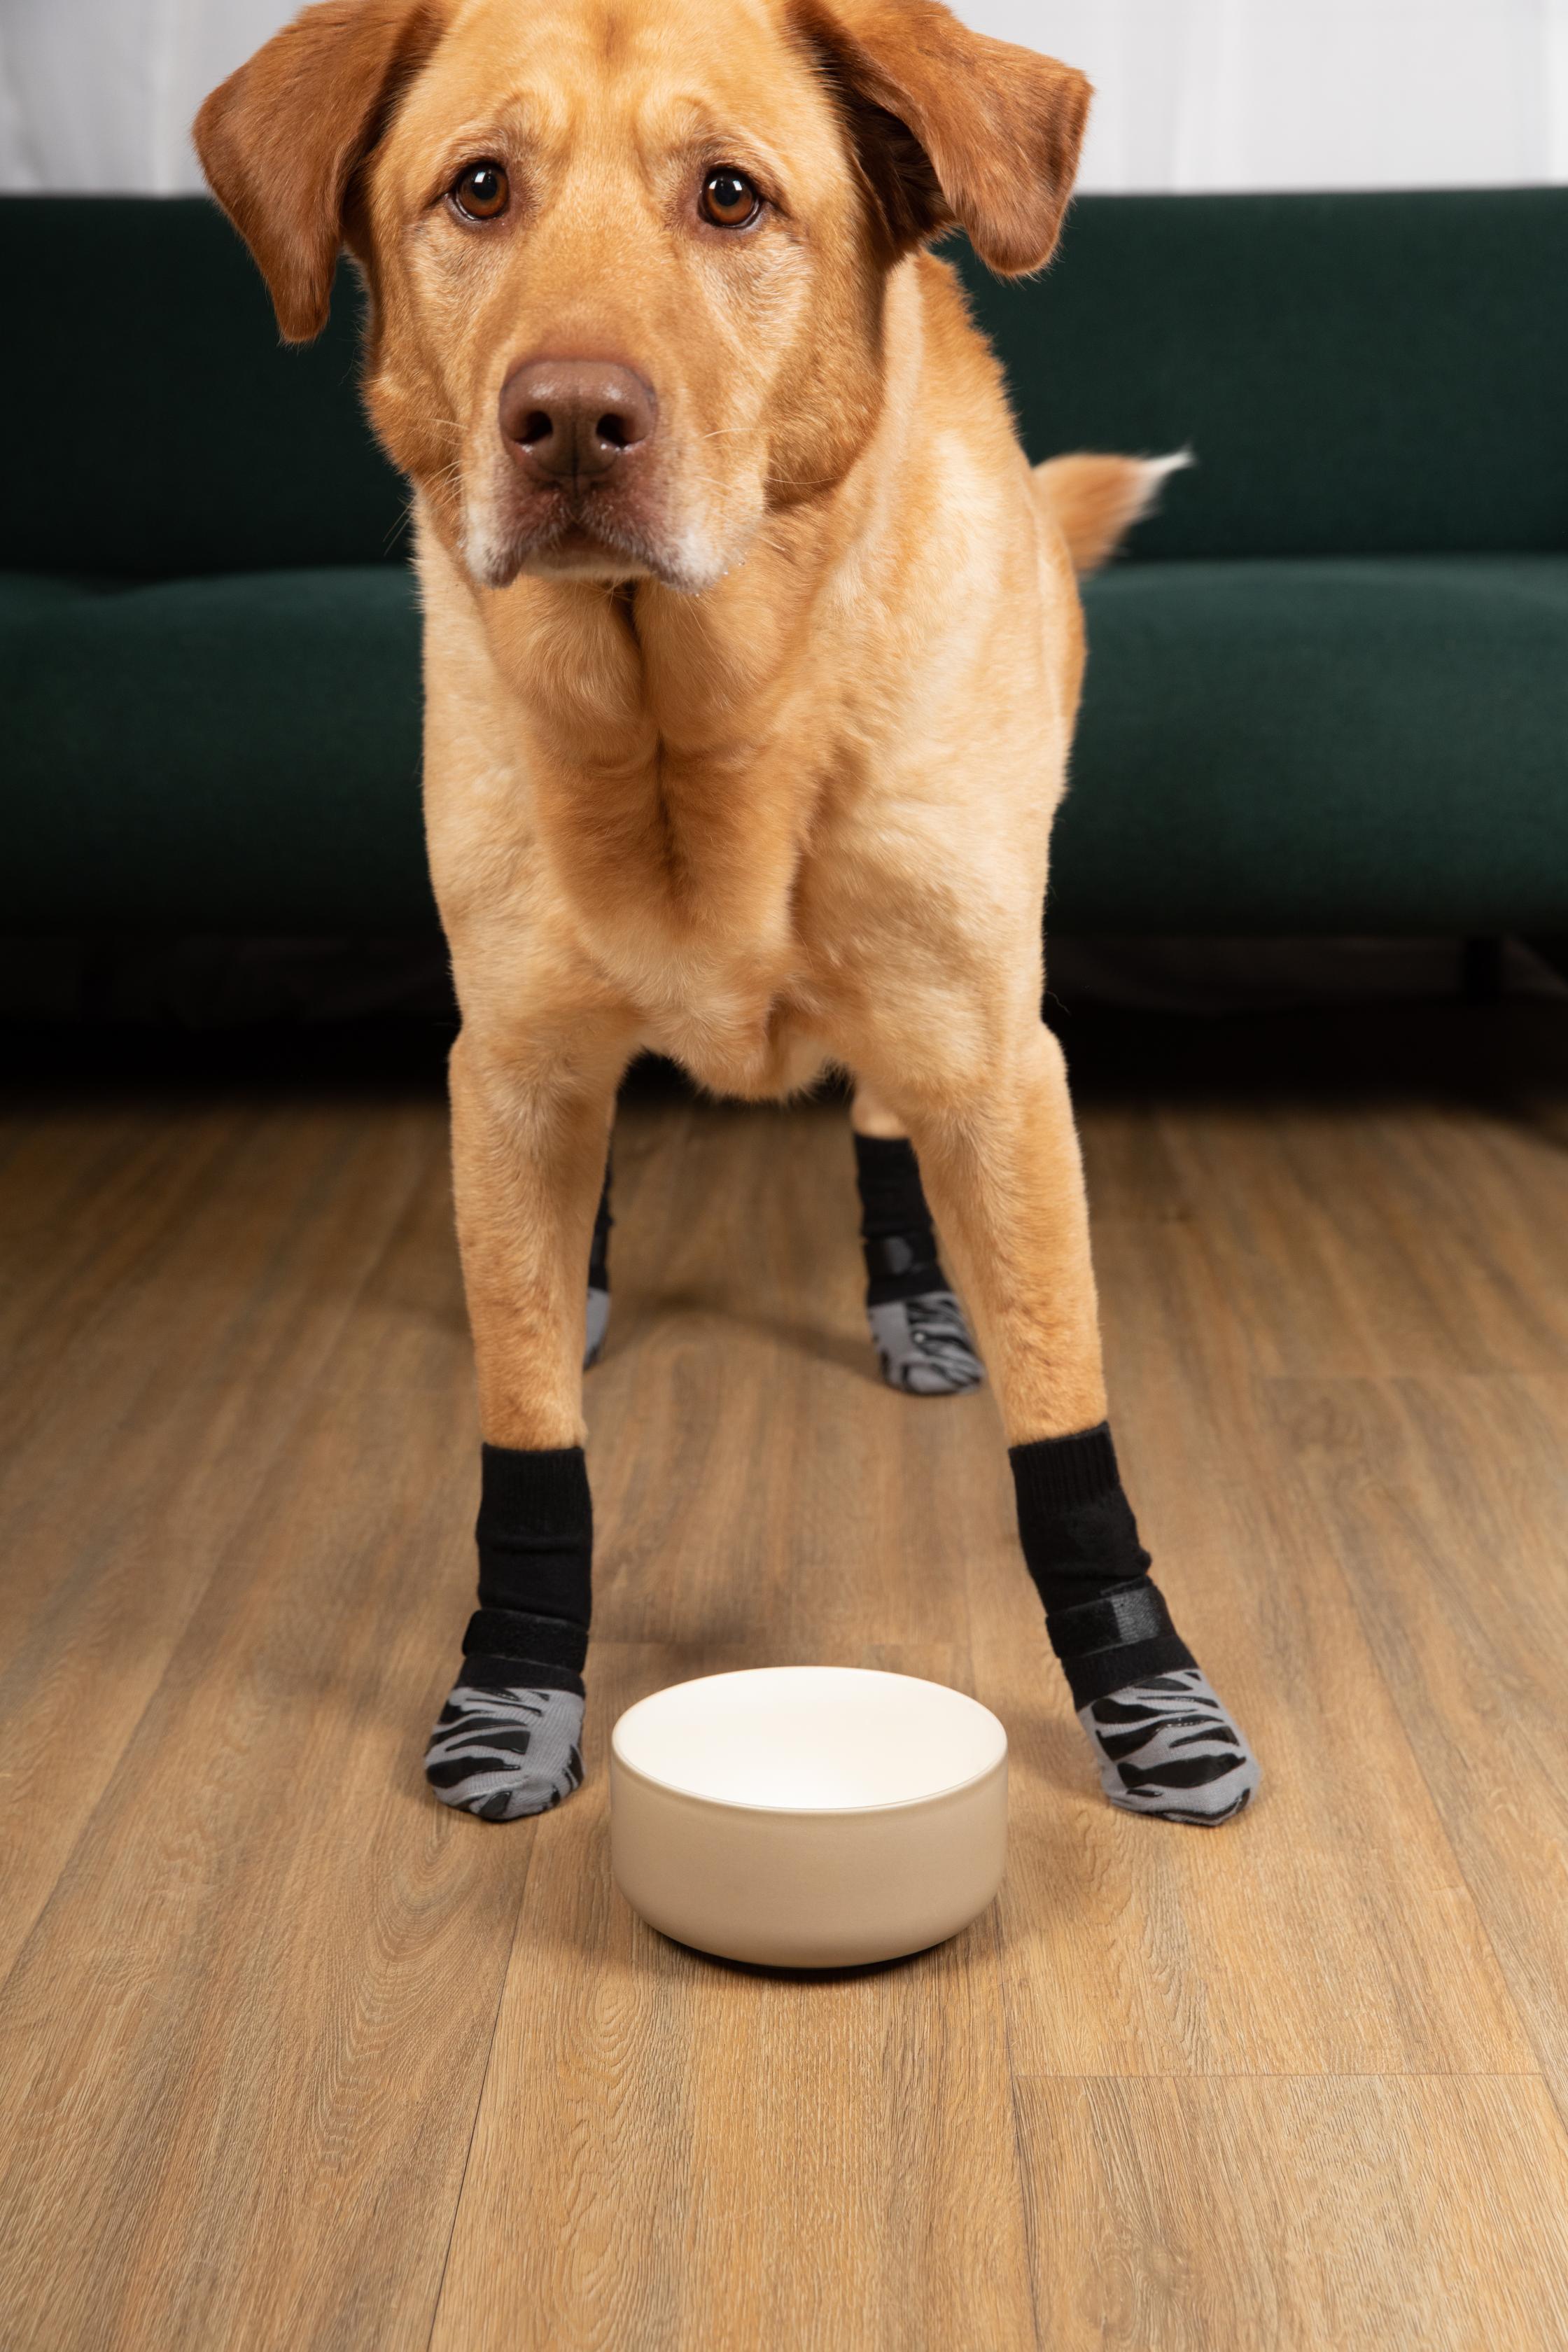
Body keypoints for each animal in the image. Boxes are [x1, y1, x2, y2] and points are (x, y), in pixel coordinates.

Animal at [202, 0, 1269, 1815]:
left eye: (729, 196)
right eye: (477, 188)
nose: (569, 420)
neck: (693, 726)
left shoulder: (996, 1060)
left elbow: (1062, 1405)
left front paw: (1144, 1687)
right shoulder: (510, 1061)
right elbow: (526, 1428)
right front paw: (515, 1680)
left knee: (882, 1120)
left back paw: (916, 1293)